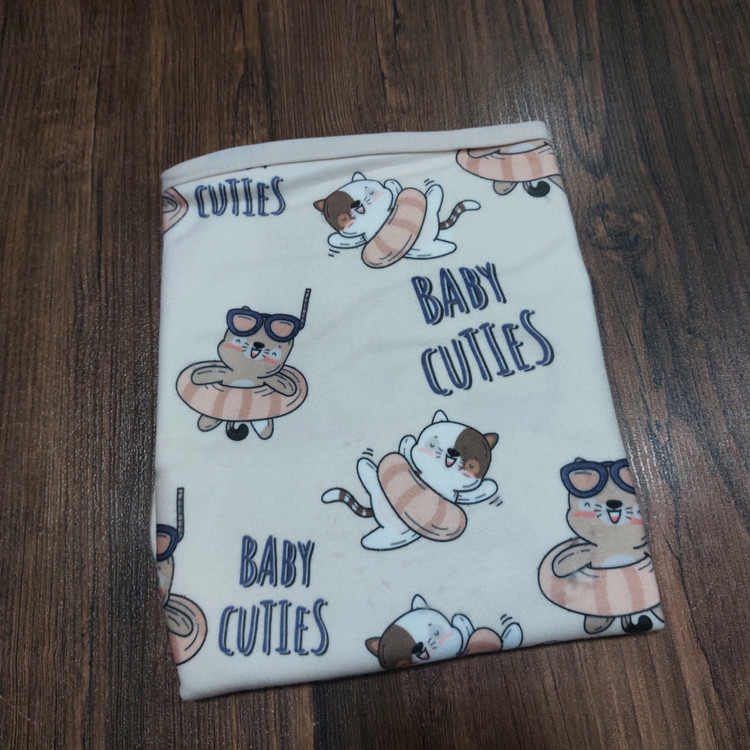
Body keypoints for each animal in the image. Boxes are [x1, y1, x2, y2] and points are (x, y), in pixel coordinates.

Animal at [189, 289, 310, 440]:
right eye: (238, 341)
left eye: (275, 352)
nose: (258, 344)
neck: (245, 373)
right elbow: (202, 374)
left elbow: (287, 386)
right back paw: (206, 423)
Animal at [322, 410, 498, 550]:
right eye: (432, 444)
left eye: (472, 465)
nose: (452, 452)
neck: (435, 479)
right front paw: (408, 441)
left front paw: (488, 487)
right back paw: (366, 466)